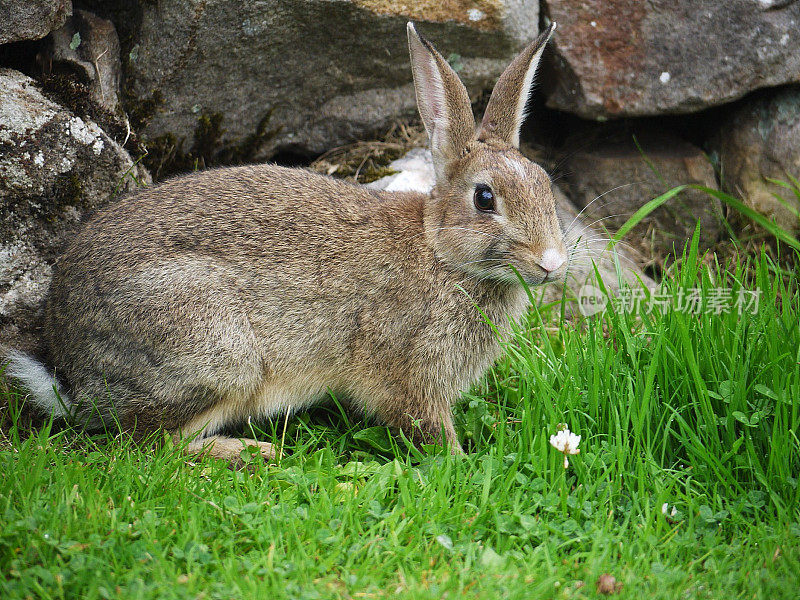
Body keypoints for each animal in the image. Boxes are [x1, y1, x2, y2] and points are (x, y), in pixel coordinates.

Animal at [7, 18, 568, 460]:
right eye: (485, 199)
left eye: (545, 184)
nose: (553, 263)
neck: (442, 254)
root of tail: (73, 375)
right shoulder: (407, 373)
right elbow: (425, 425)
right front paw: (461, 461)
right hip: (217, 354)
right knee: (152, 444)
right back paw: (249, 452)